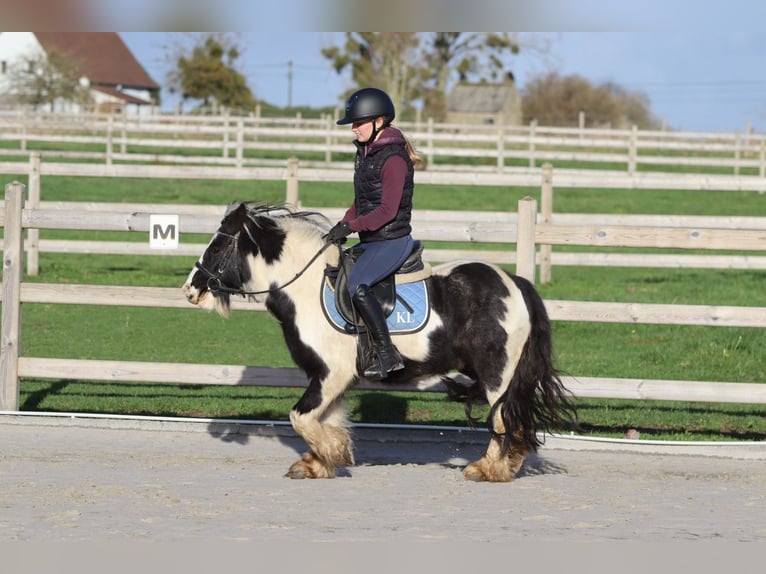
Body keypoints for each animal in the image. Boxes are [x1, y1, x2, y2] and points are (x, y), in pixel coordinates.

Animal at [182, 201, 576, 482]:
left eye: (216, 248)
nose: (190, 289)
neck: (305, 287)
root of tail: (514, 283)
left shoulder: (331, 374)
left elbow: (301, 417)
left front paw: (331, 454)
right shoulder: (331, 379)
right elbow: (326, 418)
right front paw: (319, 461)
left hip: (498, 374)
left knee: (503, 420)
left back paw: (488, 470)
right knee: (513, 421)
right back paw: (505, 465)